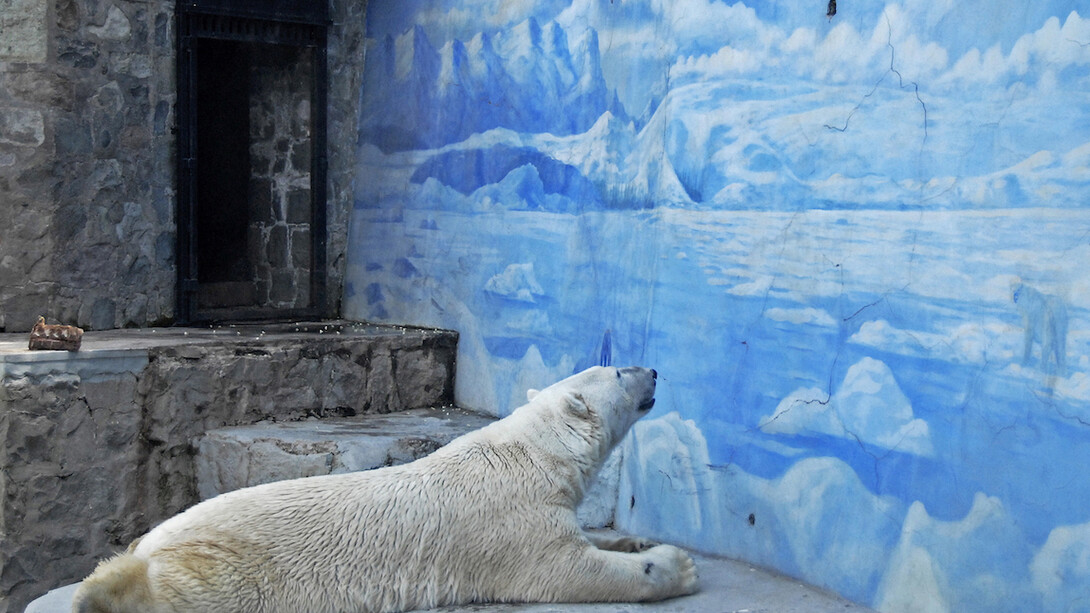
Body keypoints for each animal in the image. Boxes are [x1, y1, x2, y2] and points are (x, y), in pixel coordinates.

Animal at [72, 365, 698, 613]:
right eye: (617, 371)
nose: (654, 371)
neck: (533, 454)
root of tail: (145, 550)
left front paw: (634, 541)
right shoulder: (511, 525)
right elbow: (570, 569)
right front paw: (679, 565)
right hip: (221, 582)